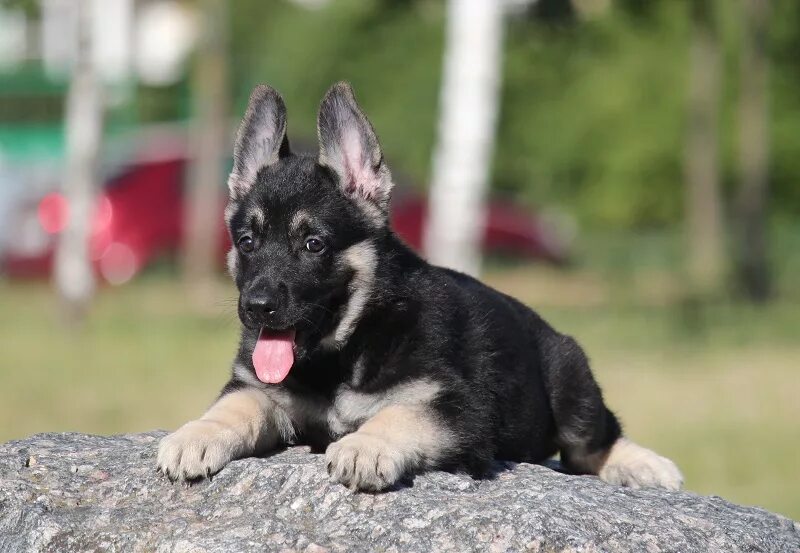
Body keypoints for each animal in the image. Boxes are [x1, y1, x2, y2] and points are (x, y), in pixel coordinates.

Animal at [159, 83, 684, 492]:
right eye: (247, 242)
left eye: (313, 244)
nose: (257, 307)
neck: (344, 351)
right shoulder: (260, 391)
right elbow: (233, 406)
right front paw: (194, 435)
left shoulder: (455, 410)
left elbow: (397, 415)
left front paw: (364, 446)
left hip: (571, 383)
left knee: (594, 441)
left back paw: (645, 465)